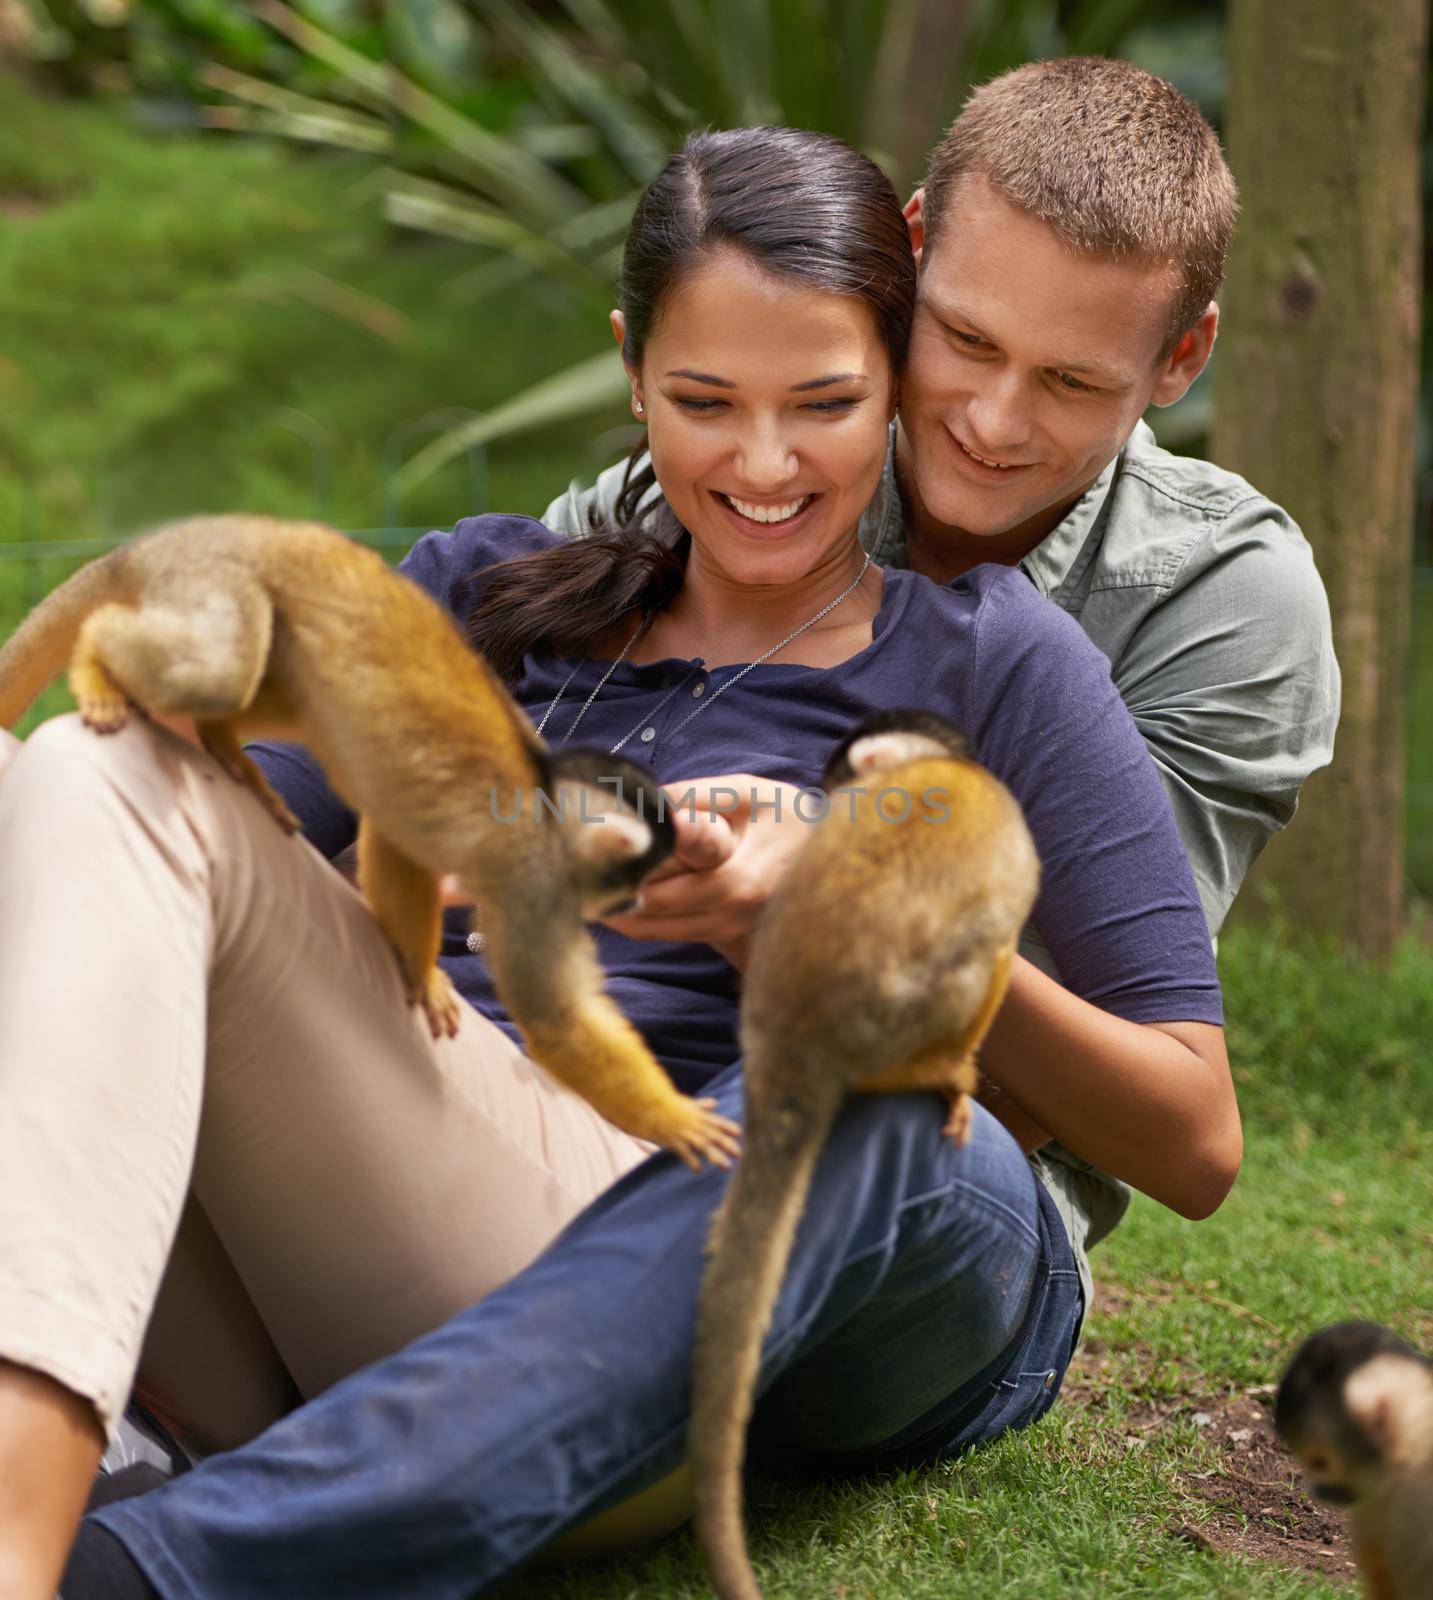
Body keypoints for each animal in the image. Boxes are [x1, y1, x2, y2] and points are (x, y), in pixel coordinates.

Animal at [0, 518, 738, 1171]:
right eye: (627, 881)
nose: (630, 904)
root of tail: (179, 539)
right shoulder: (536, 883)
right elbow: (556, 1021)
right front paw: (675, 1120)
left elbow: (398, 847)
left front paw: (421, 971)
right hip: (212, 584)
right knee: (216, 669)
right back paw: (97, 660)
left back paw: (219, 742)